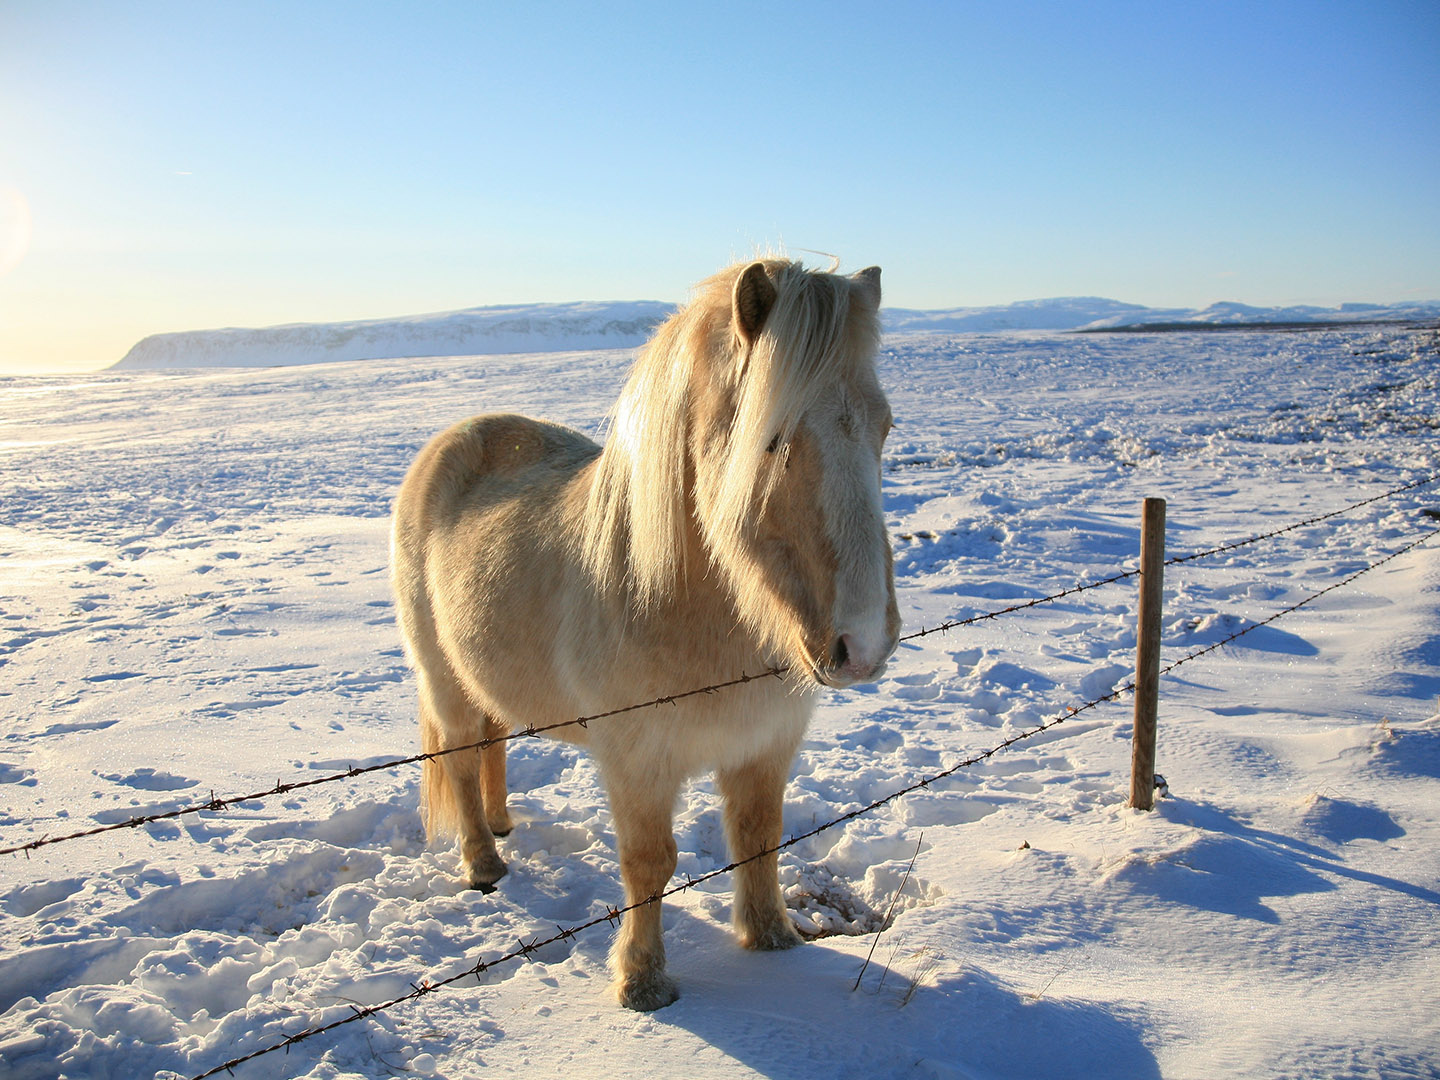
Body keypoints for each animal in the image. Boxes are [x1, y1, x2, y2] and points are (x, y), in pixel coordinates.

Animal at [391, 257, 900, 1011]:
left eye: (884, 427)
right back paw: (484, 864)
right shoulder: (638, 761)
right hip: (443, 678)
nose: (863, 645)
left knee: (493, 740)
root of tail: (458, 437)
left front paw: (773, 940)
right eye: (771, 436)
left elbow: (759, 837)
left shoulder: (766, 744)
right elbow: (649, 863)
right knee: (457, 756)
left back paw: (503, 824)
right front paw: (643, 982)